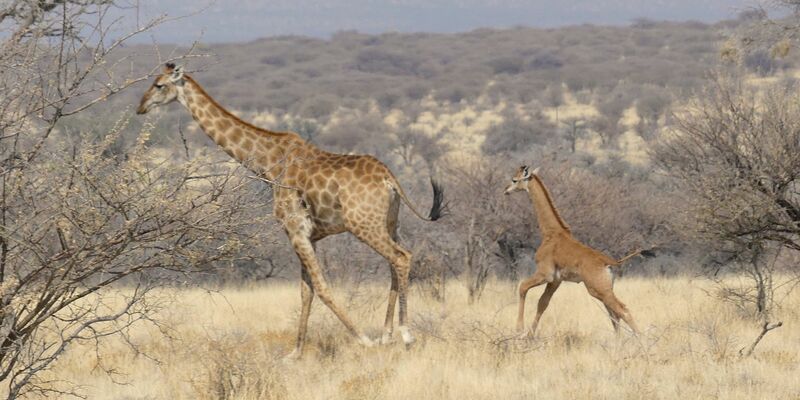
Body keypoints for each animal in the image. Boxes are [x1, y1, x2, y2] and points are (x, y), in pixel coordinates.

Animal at [137, 63, 445, 358]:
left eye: (159, 85)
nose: (141, 107)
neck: (267, 163)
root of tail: (390, 179)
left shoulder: (295, 230)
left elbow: (320, 287)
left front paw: (363, 341)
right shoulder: (309, 236)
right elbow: (305, 291)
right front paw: (296, 353)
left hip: (364, 224)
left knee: (401, 257)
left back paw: (404, 334)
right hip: (390, 223)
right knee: (394, 262)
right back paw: (387, 335)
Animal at [504, 165, 641, 337]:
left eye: (514, 180)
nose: (506, 190)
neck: (551, 233)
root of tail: (609, 262)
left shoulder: (545, 274)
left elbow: (522, 287)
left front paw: (519, 329)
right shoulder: (556, 280)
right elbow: (542, 303)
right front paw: (530, 334)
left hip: (598, 289)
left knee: (623, 310)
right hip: (605, 289)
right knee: (614, 315)